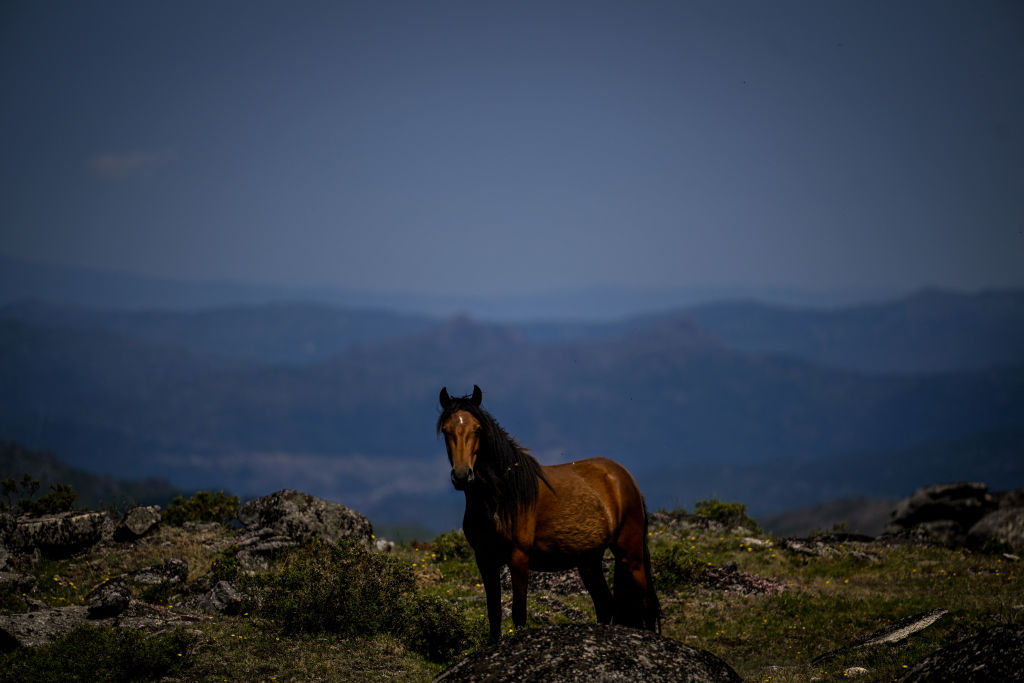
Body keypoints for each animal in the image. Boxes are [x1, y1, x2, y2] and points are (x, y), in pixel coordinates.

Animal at [437, 385, 660, 642]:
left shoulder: (519, 558)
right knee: (605, 605)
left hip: (631, 556)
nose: (462, 475)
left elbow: (518, 614)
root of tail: (625, 477)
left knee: (646, 605)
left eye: (477, 429)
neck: (501, 498)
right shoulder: (485, 559)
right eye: (446, 430)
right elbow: (494, 613)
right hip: (590, 561)